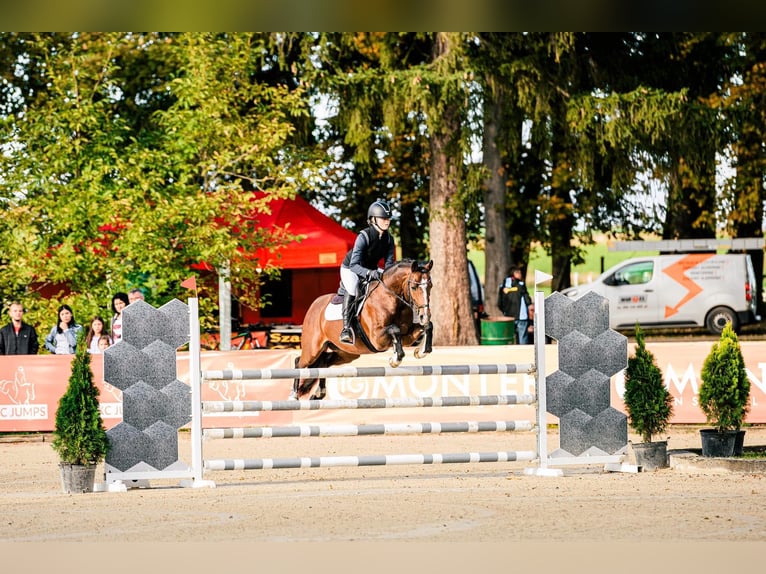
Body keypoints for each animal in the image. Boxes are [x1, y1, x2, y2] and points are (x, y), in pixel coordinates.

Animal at [292, 260, 436, 400]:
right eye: (414, 287)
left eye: (430, 286)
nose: (424, 316)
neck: (391, 298)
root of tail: (314, 305)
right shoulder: (377, 339)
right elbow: (394, 330)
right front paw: (395, 359)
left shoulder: (407, 337)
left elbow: (428, 326)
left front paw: (421, 351)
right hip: (312, 349)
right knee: (299, 362)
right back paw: (294, 395)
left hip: (346, 353)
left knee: (324, 362)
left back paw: (319, 393)